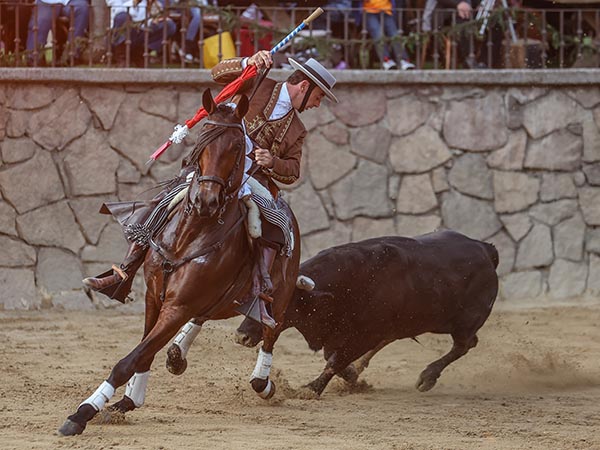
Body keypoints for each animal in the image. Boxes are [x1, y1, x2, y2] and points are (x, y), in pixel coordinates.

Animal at [59, 89, 302, 436]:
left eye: (237, 147)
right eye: (203, 139)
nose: (205, 201)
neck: (190, 236)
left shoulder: (178, 306)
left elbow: (129, 360)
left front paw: (83, 411)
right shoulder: (154, 297)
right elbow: (143, 354)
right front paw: (126, 401)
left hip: (278, 301)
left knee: (270, 335)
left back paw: (264, 383)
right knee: (201, 320)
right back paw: (175, 356)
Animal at [237, 230, 500, 396]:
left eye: (277, 302)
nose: (241, 336)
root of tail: (485, 249)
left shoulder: (366, 335)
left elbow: (334, 361)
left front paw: (311, 389)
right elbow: (333, 357)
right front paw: (352, 374)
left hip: (462, 323)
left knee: (465, 344)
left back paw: (428, 376)